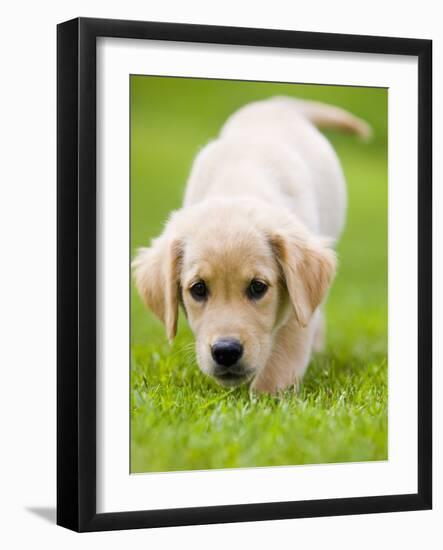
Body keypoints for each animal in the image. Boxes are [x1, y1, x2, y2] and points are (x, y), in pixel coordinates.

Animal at [133, 97, 372, 394]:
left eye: (258, 287)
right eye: (198, 289)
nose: (225, 352)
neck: (239, 184)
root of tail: (275, 104)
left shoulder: (298, 302)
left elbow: (283, 357)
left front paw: (266, 398)